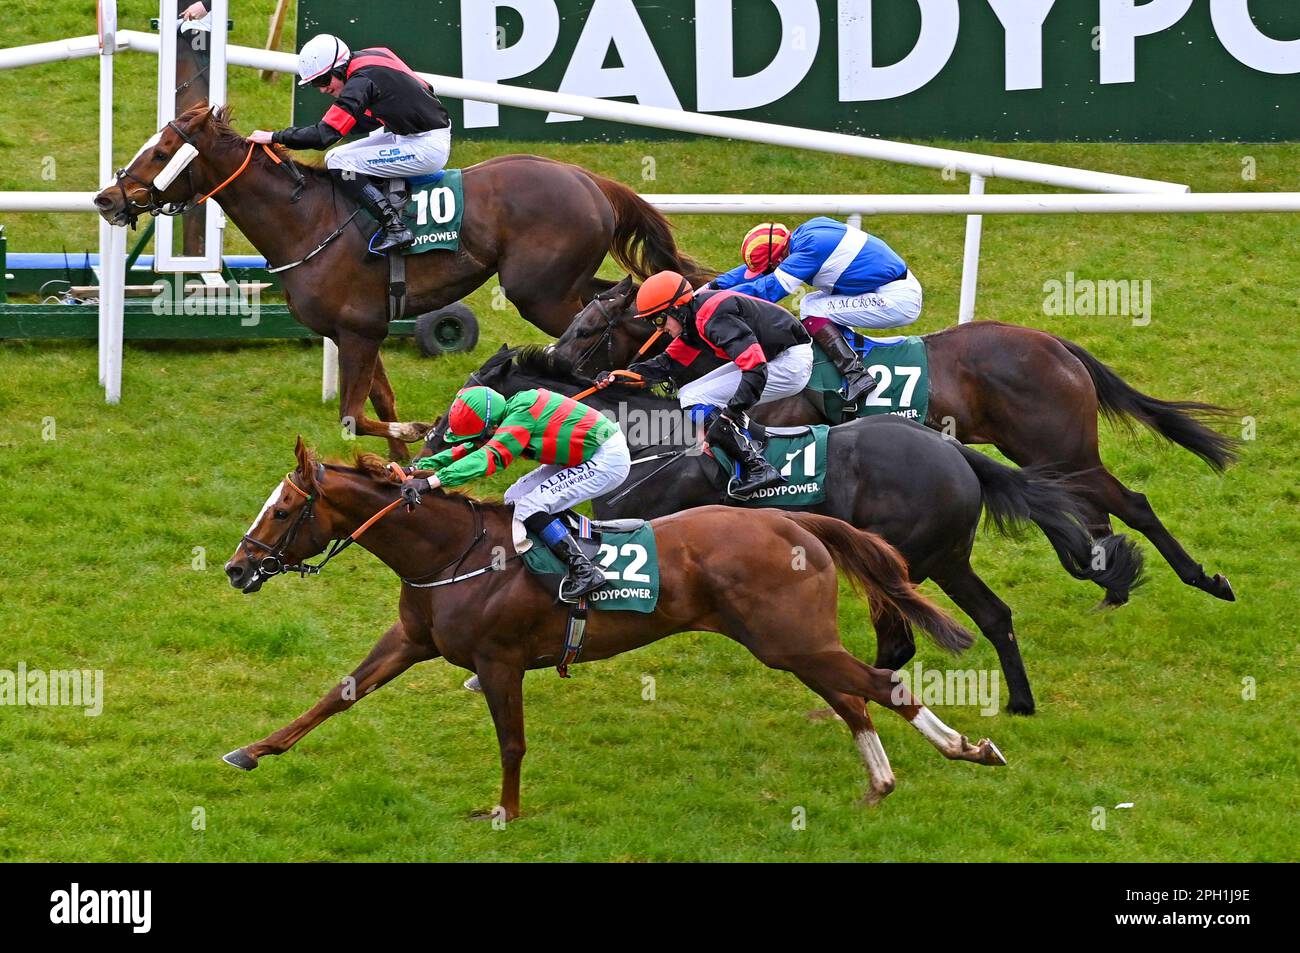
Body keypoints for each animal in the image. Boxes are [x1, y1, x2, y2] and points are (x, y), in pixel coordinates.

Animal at [94, 104, 707, 457]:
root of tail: (589, 179)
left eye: (163, 151)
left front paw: (416, 434)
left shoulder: (359, 331)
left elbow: (353, 416)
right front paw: (397, 472)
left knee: (612, 322)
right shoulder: (360, 331)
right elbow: (380, 405)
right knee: (623, 300)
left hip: (541, 292)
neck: (306, 220)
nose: (107, 199)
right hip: (565, 283)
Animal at [226, 439, 1003, 816]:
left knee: (882, 685)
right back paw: (880, 783)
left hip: (792, 639)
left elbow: (512, 742)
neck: (452, 554)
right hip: (793, 644)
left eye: (282, 509)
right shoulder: (413, 641)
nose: (236, 568)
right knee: (853, 698)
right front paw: (251, 750)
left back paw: (970, 747)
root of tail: (794, 520)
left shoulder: (499, 660)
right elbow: (337, 695)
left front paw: (506, 813)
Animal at [421, 343, 1144, 712]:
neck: (646, 438)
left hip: (906, 560)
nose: (428, 438)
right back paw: (1017, 702)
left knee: (904, 638)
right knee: (992, 615)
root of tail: (955, 451)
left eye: (462, 399)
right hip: (945, 558)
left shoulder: (649, 529)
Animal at [551, 275, 1237, 603]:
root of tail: (1054, 342)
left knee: (1131, 504)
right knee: (1087, 510)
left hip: (1062, 448)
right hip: (1045, 454)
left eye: (587, 327)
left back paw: (1200, 578)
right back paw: (1108, 576)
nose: (557, 362)